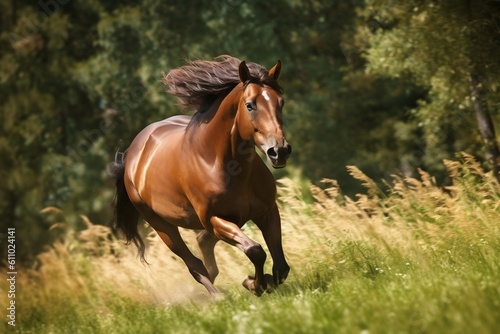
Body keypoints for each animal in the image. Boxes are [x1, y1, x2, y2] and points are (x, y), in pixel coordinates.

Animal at [109, 55, 290, 298]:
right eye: (250, 105)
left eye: (280, 102)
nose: (279, 151)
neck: (222, 164)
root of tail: (131, 155)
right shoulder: (214, 220)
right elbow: (255, 250)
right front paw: (253, 284)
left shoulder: (267, 211)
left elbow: (281, 265)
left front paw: (262, 281)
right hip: (162, 226)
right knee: (194, 265)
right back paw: (216, 297)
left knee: (203, 245)